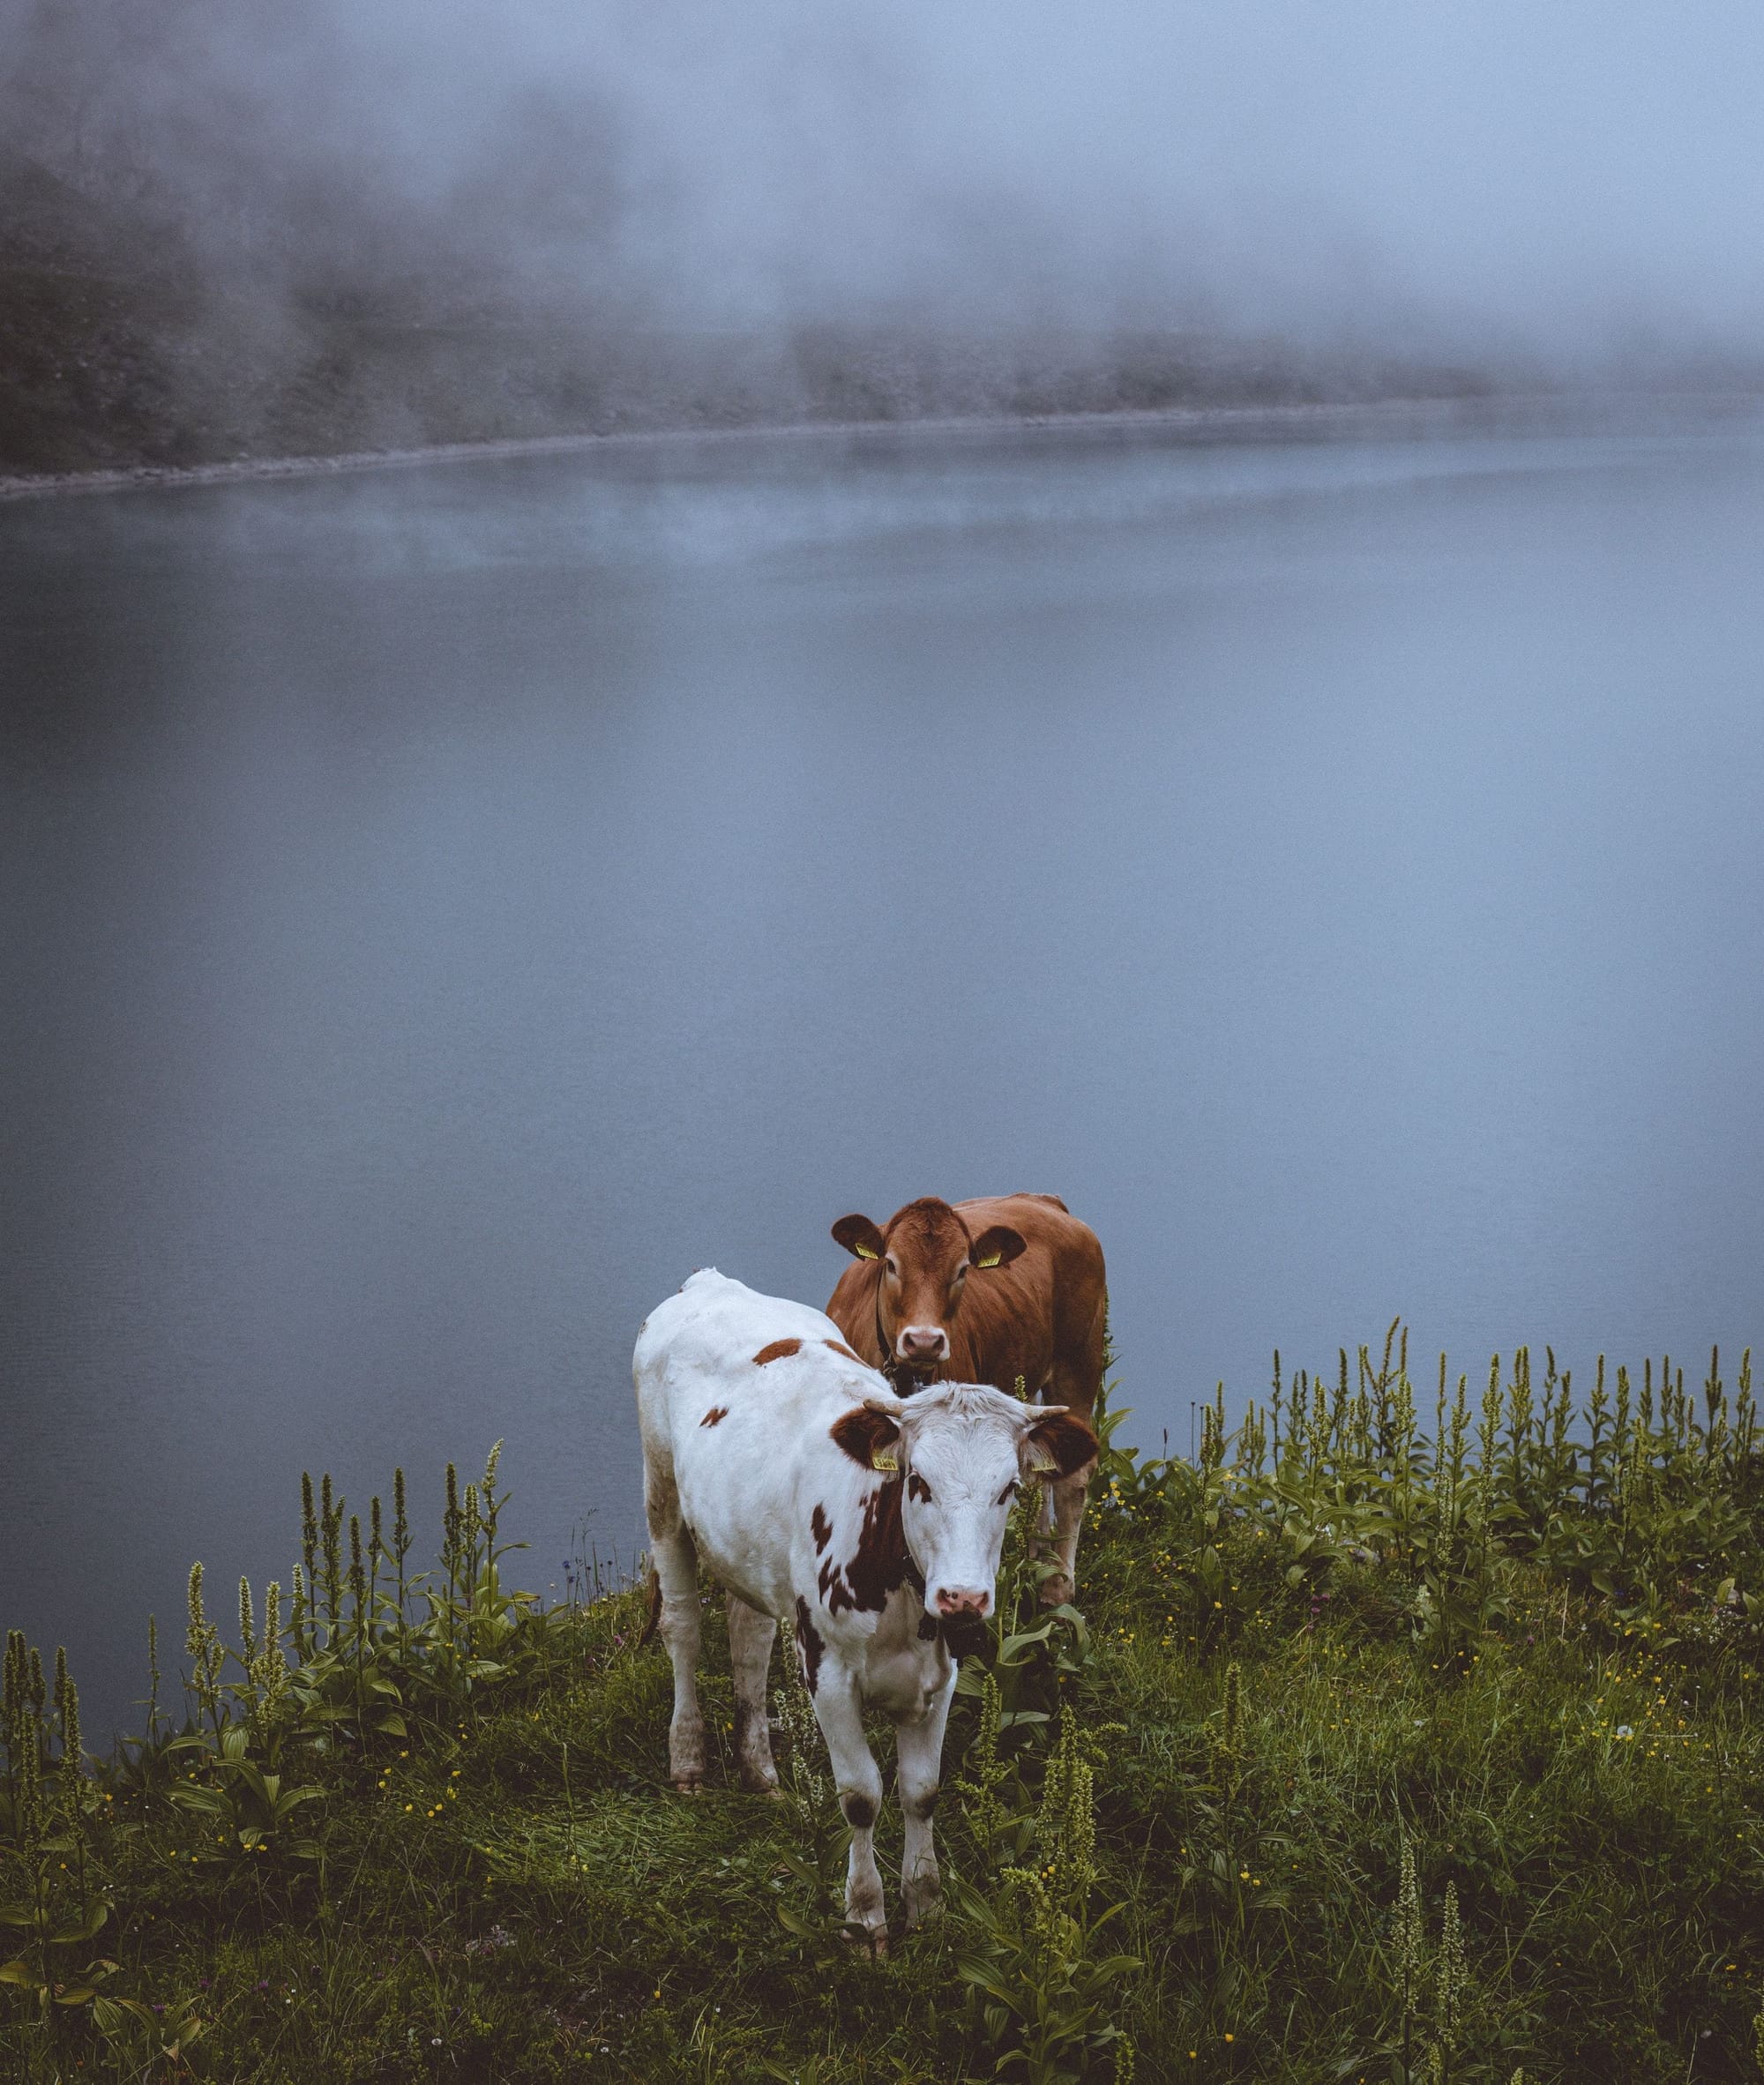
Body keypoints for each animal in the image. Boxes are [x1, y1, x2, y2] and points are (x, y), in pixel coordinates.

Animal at [633, 1267, 1101, 1951]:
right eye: (918, 1481)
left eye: (1009, 1489)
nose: (963, 1597)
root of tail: (711, 1281)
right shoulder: (827, 1673)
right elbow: (861, 1797)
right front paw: (865, 1917)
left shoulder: (940, 1677)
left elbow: (921, 1792)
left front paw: (926, 1903)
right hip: (662, 1493)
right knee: (684, 1628)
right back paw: (688, 1759)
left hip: (746, 1548)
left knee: (749, 1639)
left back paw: (760, 1772)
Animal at [829, 1192, 1101, 1610]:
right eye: (891, 1264)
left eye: (961, 1271)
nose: (925, 1341)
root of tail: (1045, 1201)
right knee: (1039, 1475)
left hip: (1080, 1365)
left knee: (1073, 1480)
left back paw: (1056, 1588)